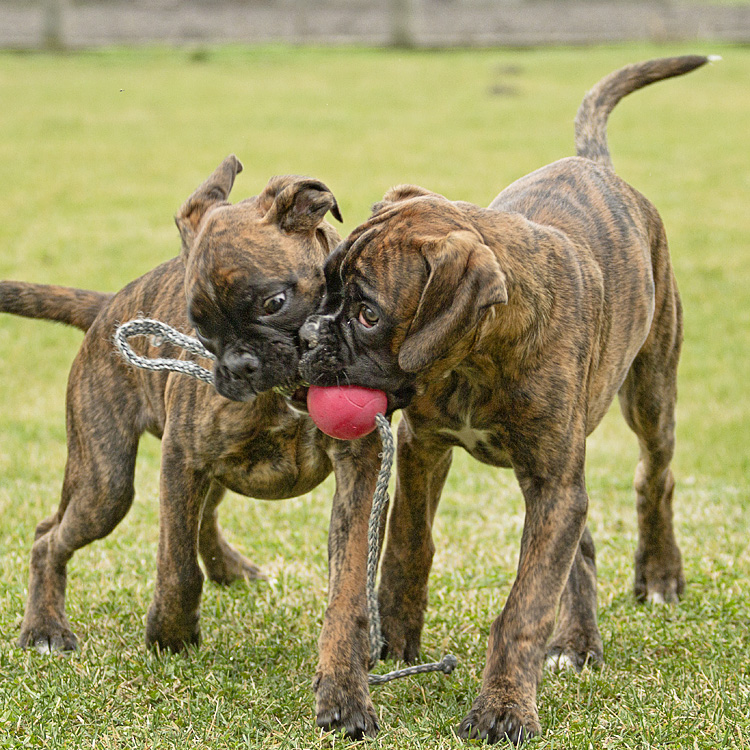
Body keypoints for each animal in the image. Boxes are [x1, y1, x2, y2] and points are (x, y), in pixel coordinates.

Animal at [4, 156, 388, 736]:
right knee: (50, 536)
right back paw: (46, 627)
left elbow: (347, 591)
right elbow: (176, 560)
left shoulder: (358, 476)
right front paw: (171, 632)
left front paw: (344, 690)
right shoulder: (182, 459)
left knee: (204, 516)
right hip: (105, 484)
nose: (238, 366)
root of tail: (108, 306)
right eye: (199, 327)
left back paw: (229, 568)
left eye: (274, 303)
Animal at [296, 58, 712, 748]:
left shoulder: (551, 483)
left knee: (655, 475)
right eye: (325, 282)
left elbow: (525, 606)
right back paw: (578, 639)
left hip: (650, 393)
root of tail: (595, 166)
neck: (480, 354)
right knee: (582, 542)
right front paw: (396, 635)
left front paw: (505, 707)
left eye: (368, 313)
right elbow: (409, 541)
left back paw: (656, 575)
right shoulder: (424, 446)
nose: (307, 335)